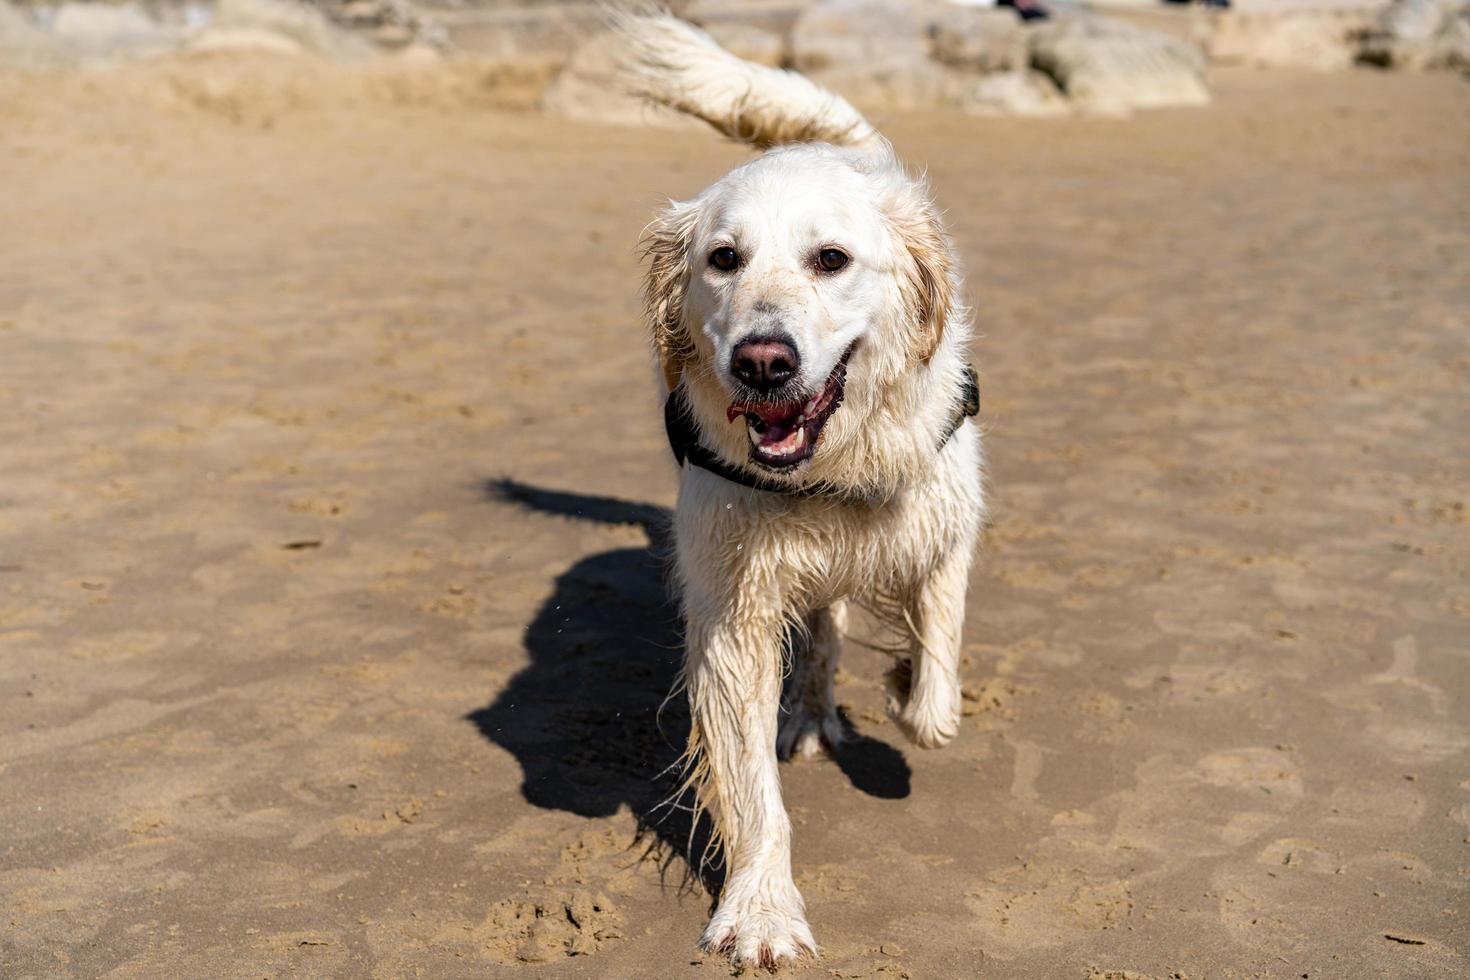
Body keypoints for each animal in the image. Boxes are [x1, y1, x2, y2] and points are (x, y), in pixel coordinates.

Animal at [614, 11, 981, 969]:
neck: (826, 473)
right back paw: (809, 716)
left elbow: (937, 679)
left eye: (831, 259)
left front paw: (906, 684)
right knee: (816, 637)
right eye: (723, 258)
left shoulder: (948, 524)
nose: (764, 361)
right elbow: (751, 791)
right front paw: (762, 911)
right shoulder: (732, 613)